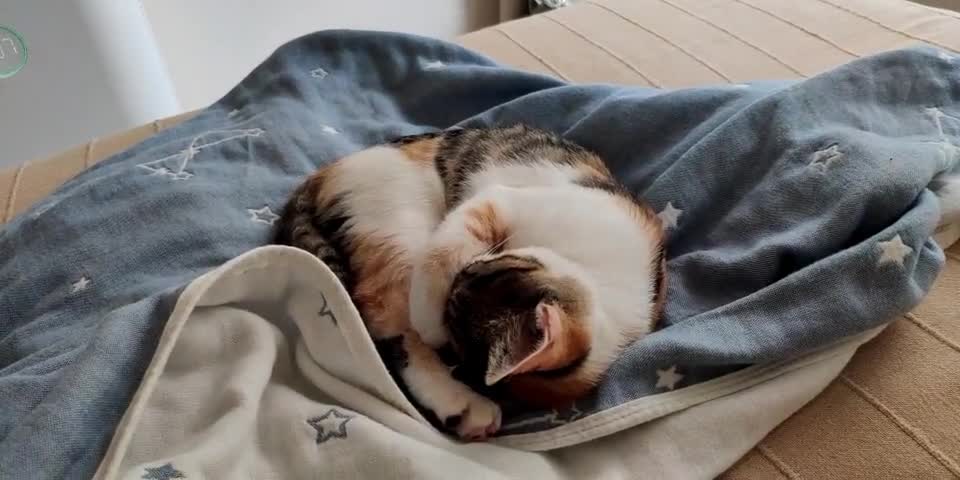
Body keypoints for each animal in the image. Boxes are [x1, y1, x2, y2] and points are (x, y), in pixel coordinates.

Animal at [274, 125, 668, 440]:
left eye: (478, 277)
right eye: (485, 269)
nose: (468, 270)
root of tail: (321, 174)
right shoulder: (502, 200)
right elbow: (445, 248)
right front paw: (429, 321)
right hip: (399, 220)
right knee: (384, 316)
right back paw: (459, 400)